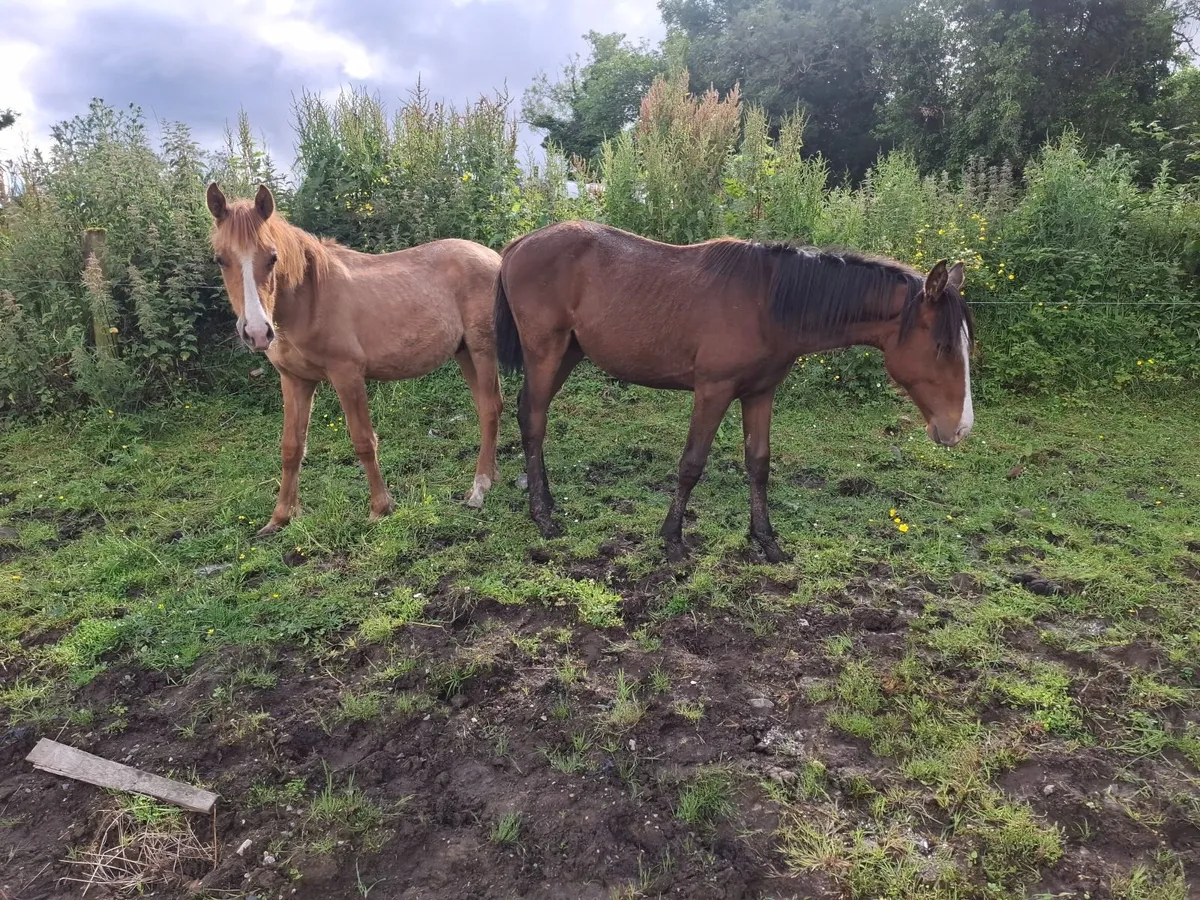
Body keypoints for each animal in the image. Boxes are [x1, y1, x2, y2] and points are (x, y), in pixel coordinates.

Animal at [206, 183, 503, 536]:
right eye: (220, 259)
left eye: (272, 257)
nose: (256, 331)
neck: (309, 301)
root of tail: (496, 258)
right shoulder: (295, 380)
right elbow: (291, 447)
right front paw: (280, 517)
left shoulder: (347, 376)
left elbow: (363, 441)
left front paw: (380, 508)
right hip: (465, 353)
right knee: (487, 408)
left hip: (482, 350)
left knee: (490, 408)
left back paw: (479, 488)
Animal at [493, 220, 975, 564]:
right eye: (943, 347)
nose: (960, 428)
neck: (768, 303)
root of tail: (519, 245)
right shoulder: (713, 389)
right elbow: (691, 464)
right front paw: (673, 540)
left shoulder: (759, 393)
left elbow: (758, 464)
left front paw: (766, 540)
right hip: (545, 352)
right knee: (533, 419)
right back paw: (542, 516)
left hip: (568, 354)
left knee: (531, 415)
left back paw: (547, 502)